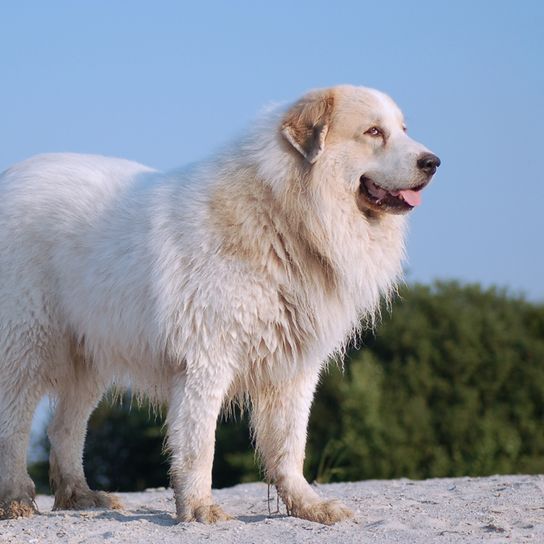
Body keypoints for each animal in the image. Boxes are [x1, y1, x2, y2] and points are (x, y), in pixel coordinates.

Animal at [0, 84, 438, 524]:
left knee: (65, 429)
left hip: (90, 355)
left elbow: (290, 445)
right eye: (373, 132)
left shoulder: (294, 368)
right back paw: (17, 499)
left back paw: (82, 496)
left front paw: (308, 505)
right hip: (28, 344)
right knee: (14, 425)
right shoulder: (207, 359)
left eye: (402, 129)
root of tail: (13, 176)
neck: (282, 216)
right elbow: (200, 443)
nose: (433, 162)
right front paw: (198, 507)